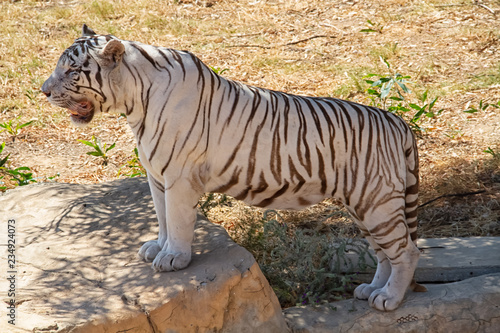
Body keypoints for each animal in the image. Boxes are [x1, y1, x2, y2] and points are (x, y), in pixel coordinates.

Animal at [43, 24, 426, 310]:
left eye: (72, 70)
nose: (43, 90)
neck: (135, 102)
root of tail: (398, 121)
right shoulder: (156, 176)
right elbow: (162, 216)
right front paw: (157, 246)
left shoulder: (178, 178)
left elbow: (178, 221)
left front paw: (173, 259)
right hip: (363, 206)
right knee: (384, 253)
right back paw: (371, 290)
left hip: (376, 202)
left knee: (406, 251)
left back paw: (389, 299)